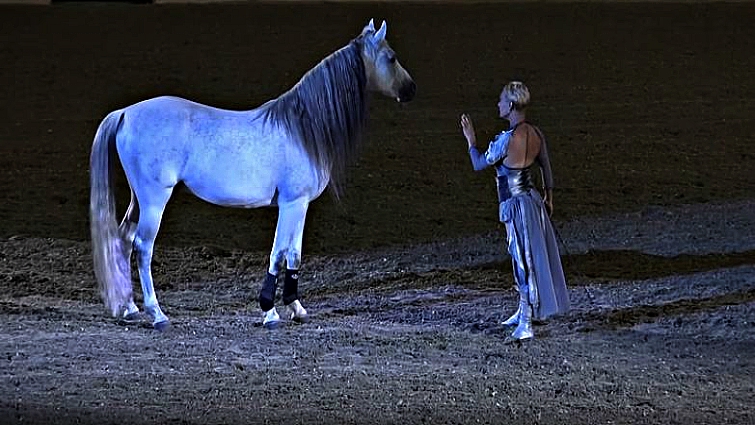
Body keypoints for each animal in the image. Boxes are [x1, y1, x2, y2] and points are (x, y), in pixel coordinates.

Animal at [89, 19, 416, 331]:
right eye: (391, 57)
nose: (411, 90)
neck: (302, 128)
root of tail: (125, 112)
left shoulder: (301, 205)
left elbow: (294, 254)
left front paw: (297, 308)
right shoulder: (290, 203)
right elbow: (279, 252)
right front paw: (269, 311)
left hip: (138, 198)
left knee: (123, 239)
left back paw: (128, 309)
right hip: (155, 200)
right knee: (143, 247)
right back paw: (157, 315)